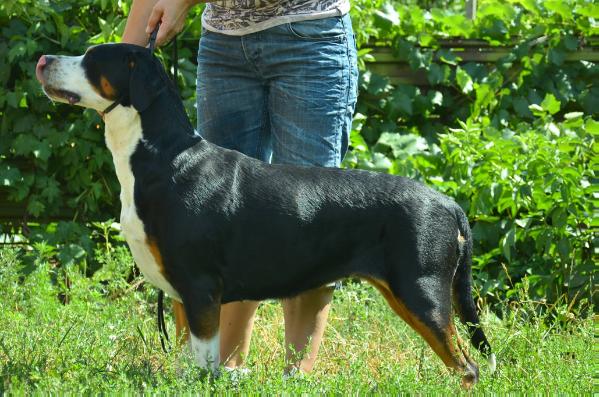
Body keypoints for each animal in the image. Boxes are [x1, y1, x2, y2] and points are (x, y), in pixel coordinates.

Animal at [36, 44, 496, 386]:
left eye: (93, 59)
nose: (42, 61)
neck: (163, 157)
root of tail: (448, 203)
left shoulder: (200, 287)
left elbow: (205, 361)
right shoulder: (183, 295)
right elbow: (188, 359)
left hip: (422, 292)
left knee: (467, 366)